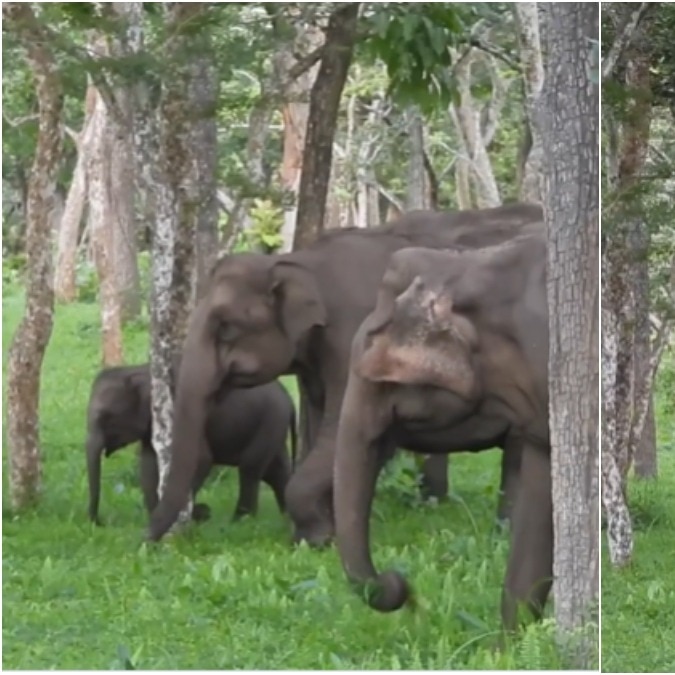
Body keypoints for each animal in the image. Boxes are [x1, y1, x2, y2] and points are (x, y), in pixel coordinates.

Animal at [85, 363, 296, 526]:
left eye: (106, 417)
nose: (100, 522)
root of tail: (289, 399)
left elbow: (200, 459)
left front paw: (198, 514)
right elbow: (147, 465)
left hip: (269, 422)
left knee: (250, 469)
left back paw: (239, 522)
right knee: (276, 472)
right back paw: (287, 518)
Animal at [146, 203, 545, 544]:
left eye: (226, 328)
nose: (146, 541)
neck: (300, 263)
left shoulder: (352, 336)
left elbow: (338, 429)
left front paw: (315, 539)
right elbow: (321, 425)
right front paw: (321, 533)